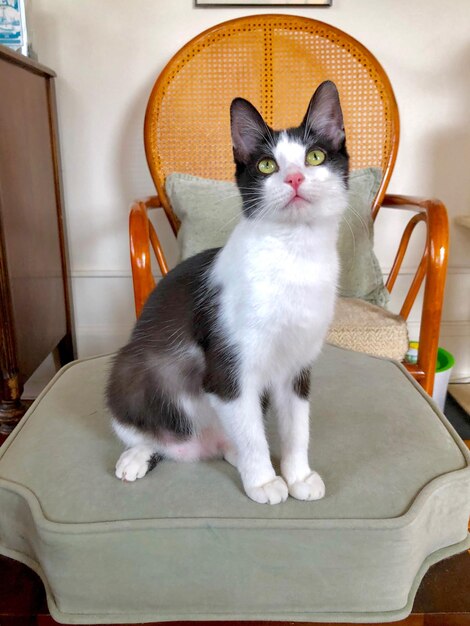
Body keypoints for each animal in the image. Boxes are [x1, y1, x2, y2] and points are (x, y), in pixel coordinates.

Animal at [107, 81, 348, 502]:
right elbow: (250, 431)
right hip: (131, 369)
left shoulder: (298, 363)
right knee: (142, 426)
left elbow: (297, 423)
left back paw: (230, 451)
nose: (295, 179)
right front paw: (264, 480)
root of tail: (199, 446)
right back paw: (140, 454)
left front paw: (298, 475)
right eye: (267, 165)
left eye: (315, 156)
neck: (293, 254)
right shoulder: (228, 365)